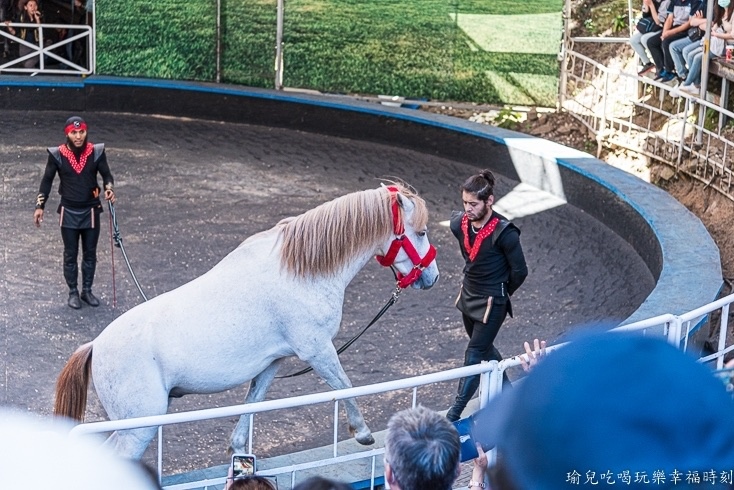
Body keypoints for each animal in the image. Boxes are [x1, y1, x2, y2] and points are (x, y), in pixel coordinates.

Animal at [56, 184, 442, 460]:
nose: (433, 277)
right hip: (137, 429)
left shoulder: (273, 361)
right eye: (421, 232)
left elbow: (253, 401)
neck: (299, 271)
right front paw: (361, 432)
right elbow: (344, 385)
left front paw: (239, 447)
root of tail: (95, 346)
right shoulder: (317, 350)